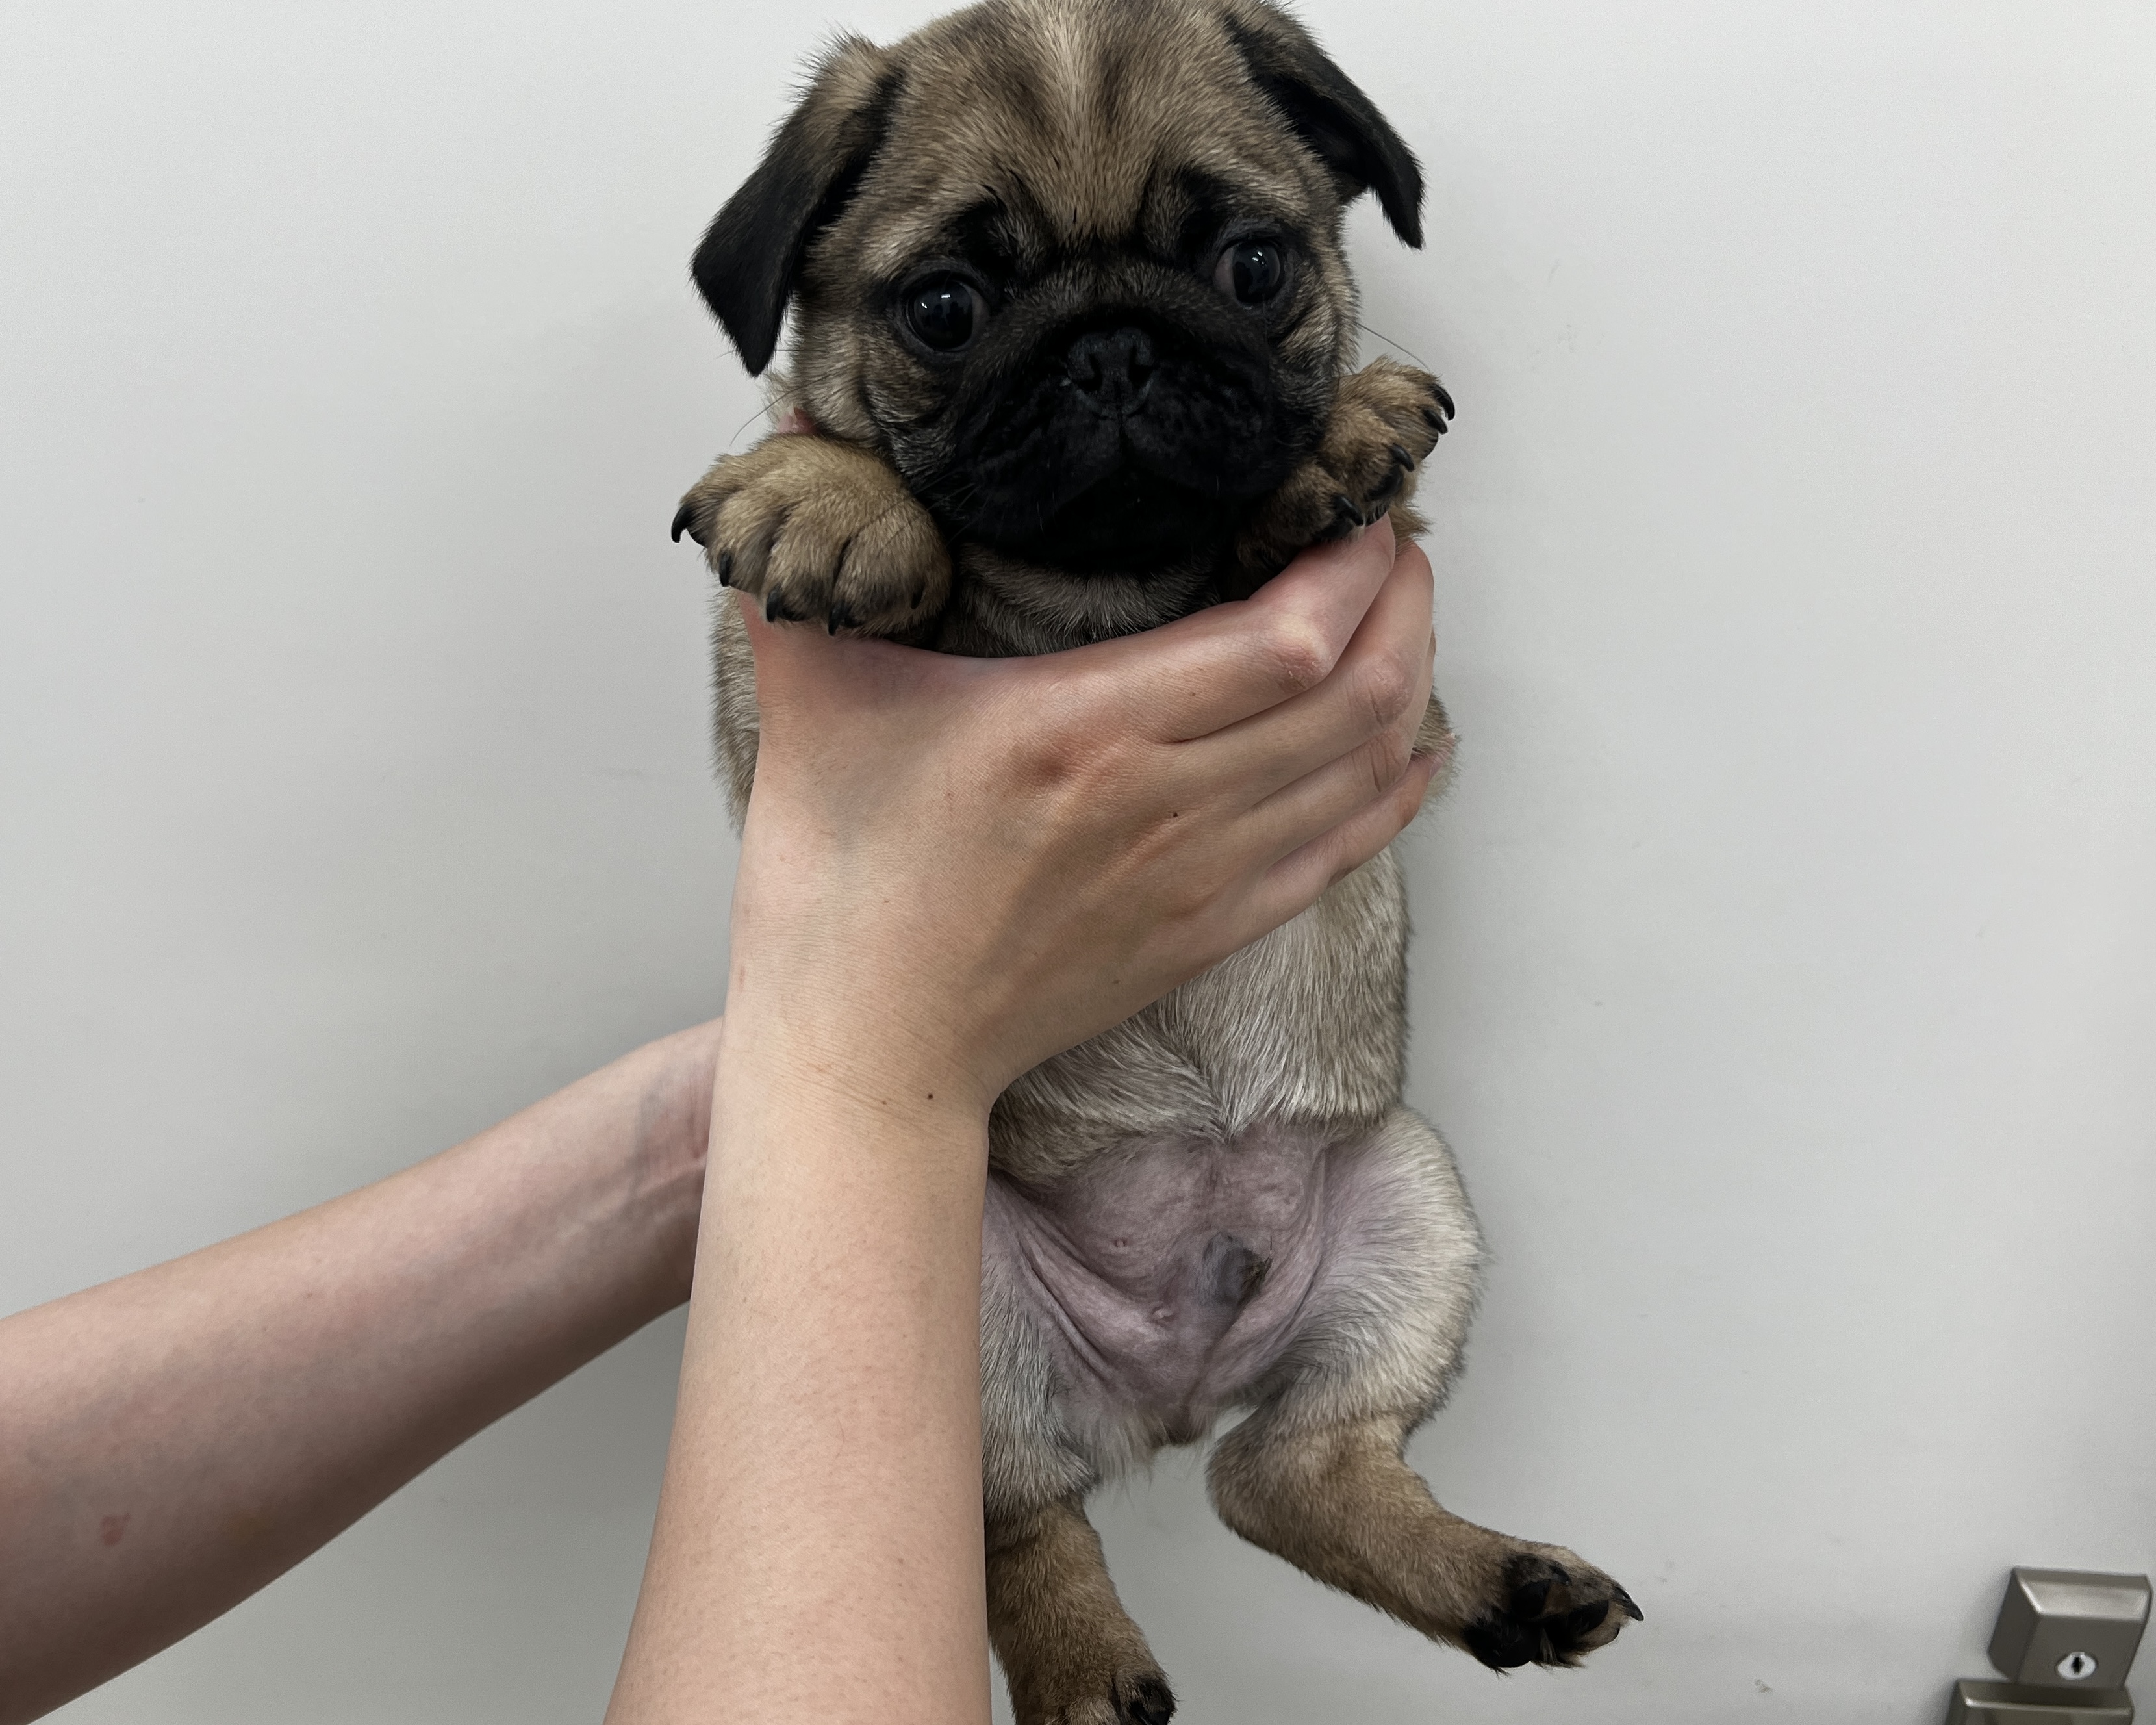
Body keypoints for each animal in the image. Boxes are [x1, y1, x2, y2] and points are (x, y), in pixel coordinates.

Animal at [672, 2, 1638, 1717]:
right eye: (944, 307)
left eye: (1253, 268)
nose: (1113, 347)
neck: (1099, 594)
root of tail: (1167, 1393)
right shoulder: (767, 723)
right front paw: (828, 495)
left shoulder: (1403, 708)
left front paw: (1343, 430)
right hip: (949, 1299)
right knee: (1017, 1520)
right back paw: (1088, 1671)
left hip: (1412, 1198)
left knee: (1285, 1471)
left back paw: (1499, 1582)